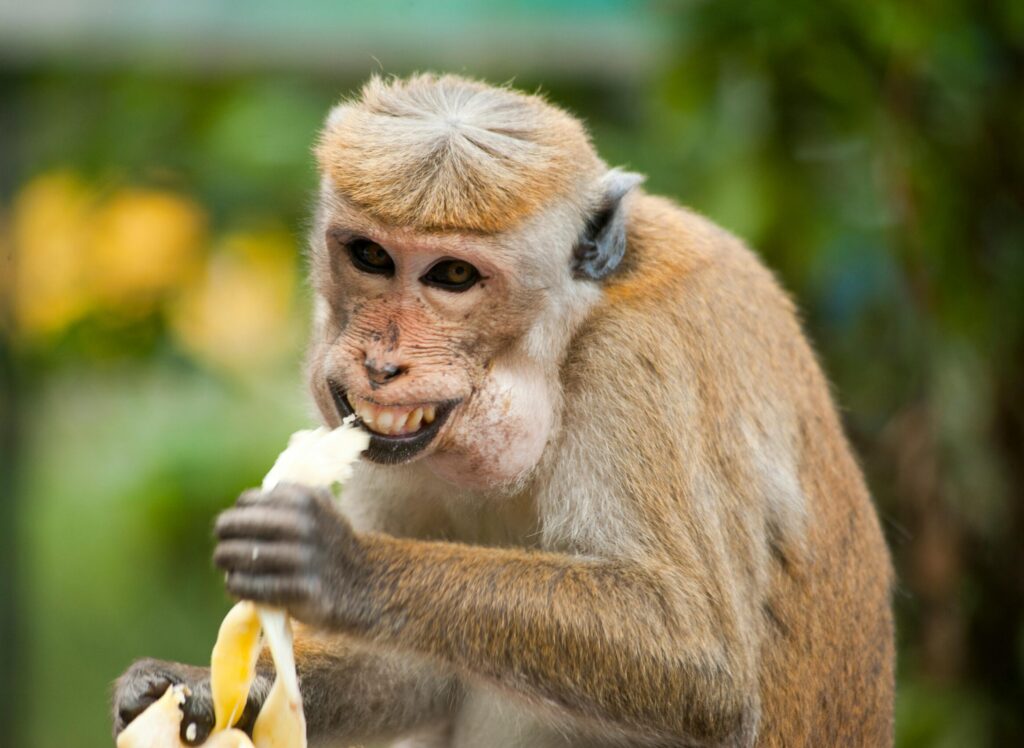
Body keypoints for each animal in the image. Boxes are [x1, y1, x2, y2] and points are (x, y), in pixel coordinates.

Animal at [113, 73, 895, 747]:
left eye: (453, 275)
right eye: (370, 256)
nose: (380, 365)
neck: (567, 335)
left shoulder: (637, 365)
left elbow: (700, 660)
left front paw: (340, 564)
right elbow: (415, 669)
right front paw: (194, 688)